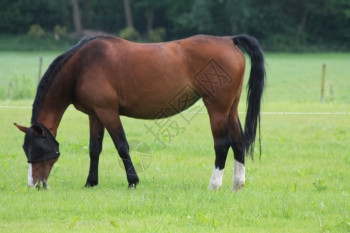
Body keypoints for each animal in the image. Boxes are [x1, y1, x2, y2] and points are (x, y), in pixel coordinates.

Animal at [14, 34, 266, 191]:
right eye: (26, 150)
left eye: (39, 150)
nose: (35, 185)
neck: (82, 65)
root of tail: (228, 40)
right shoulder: (94, 115)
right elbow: (95, 149)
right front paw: (91, 182)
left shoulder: (108, 112)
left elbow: (122, 146)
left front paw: (133, 181)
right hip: (231, 108)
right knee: (238, 142)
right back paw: (237, 184)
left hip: (217, 108)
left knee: (222, 144)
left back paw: (214, 185)